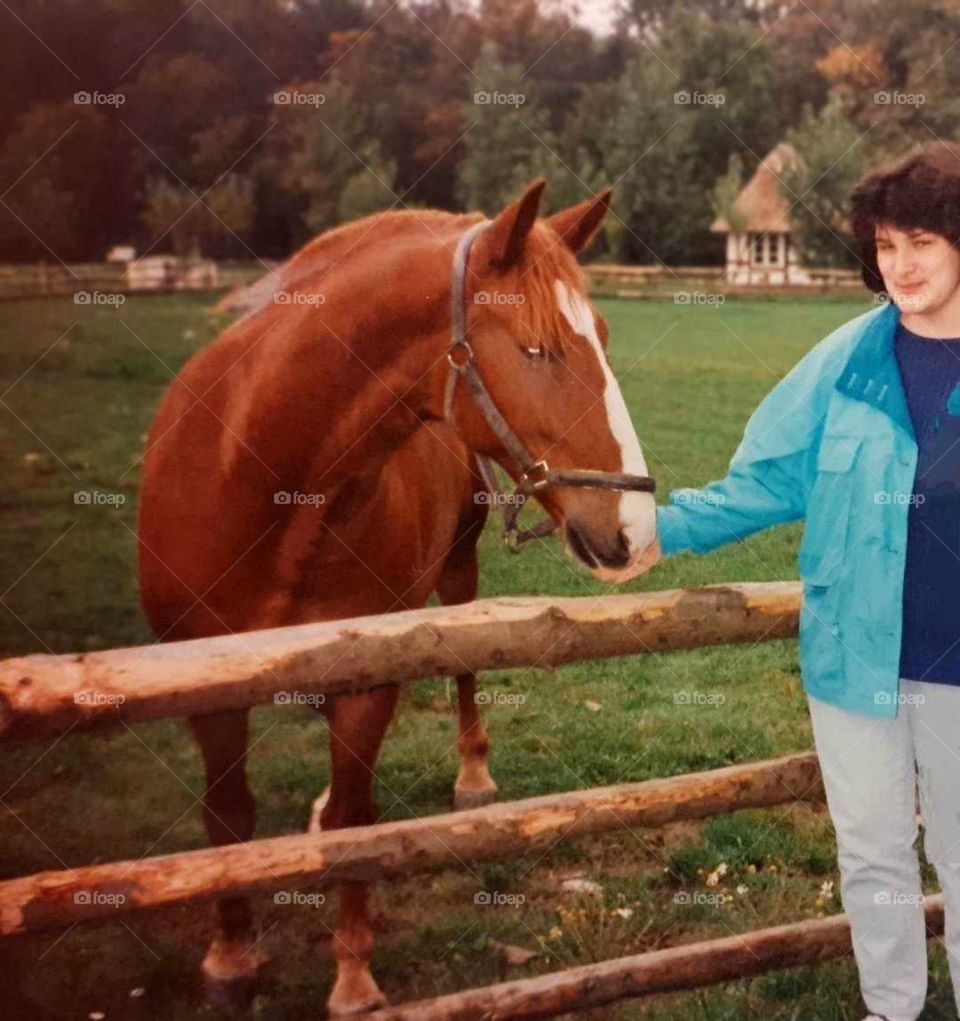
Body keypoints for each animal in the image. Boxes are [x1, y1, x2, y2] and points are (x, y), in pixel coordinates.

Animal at [137, 179, 659, 1016]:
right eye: (536, 348)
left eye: (603, 337)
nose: (636, 531)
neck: (256, 473)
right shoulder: (205, 683)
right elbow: (230, 815)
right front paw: (230, 956)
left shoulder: (367, 681)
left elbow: (359, 825)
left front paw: (353, 979)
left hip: (458, 574)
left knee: (463, 672)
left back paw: (472, 777)